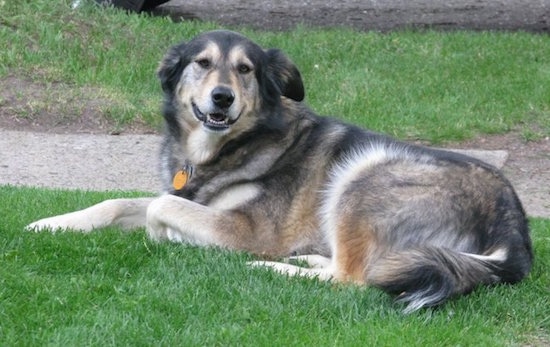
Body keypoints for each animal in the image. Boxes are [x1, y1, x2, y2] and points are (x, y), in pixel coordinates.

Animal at [25, 29, 536, 312]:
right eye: (202, 63)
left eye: (245, 69)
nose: (222, 98)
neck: (227, 148)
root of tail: (513, 228)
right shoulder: (186, 193)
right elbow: (121, 202)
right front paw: (51, 223)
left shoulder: (245, 227)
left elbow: (159, 209)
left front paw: (168, 238)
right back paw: (305, 258)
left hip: (362, 175)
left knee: (354, 279)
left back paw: (270, 267)